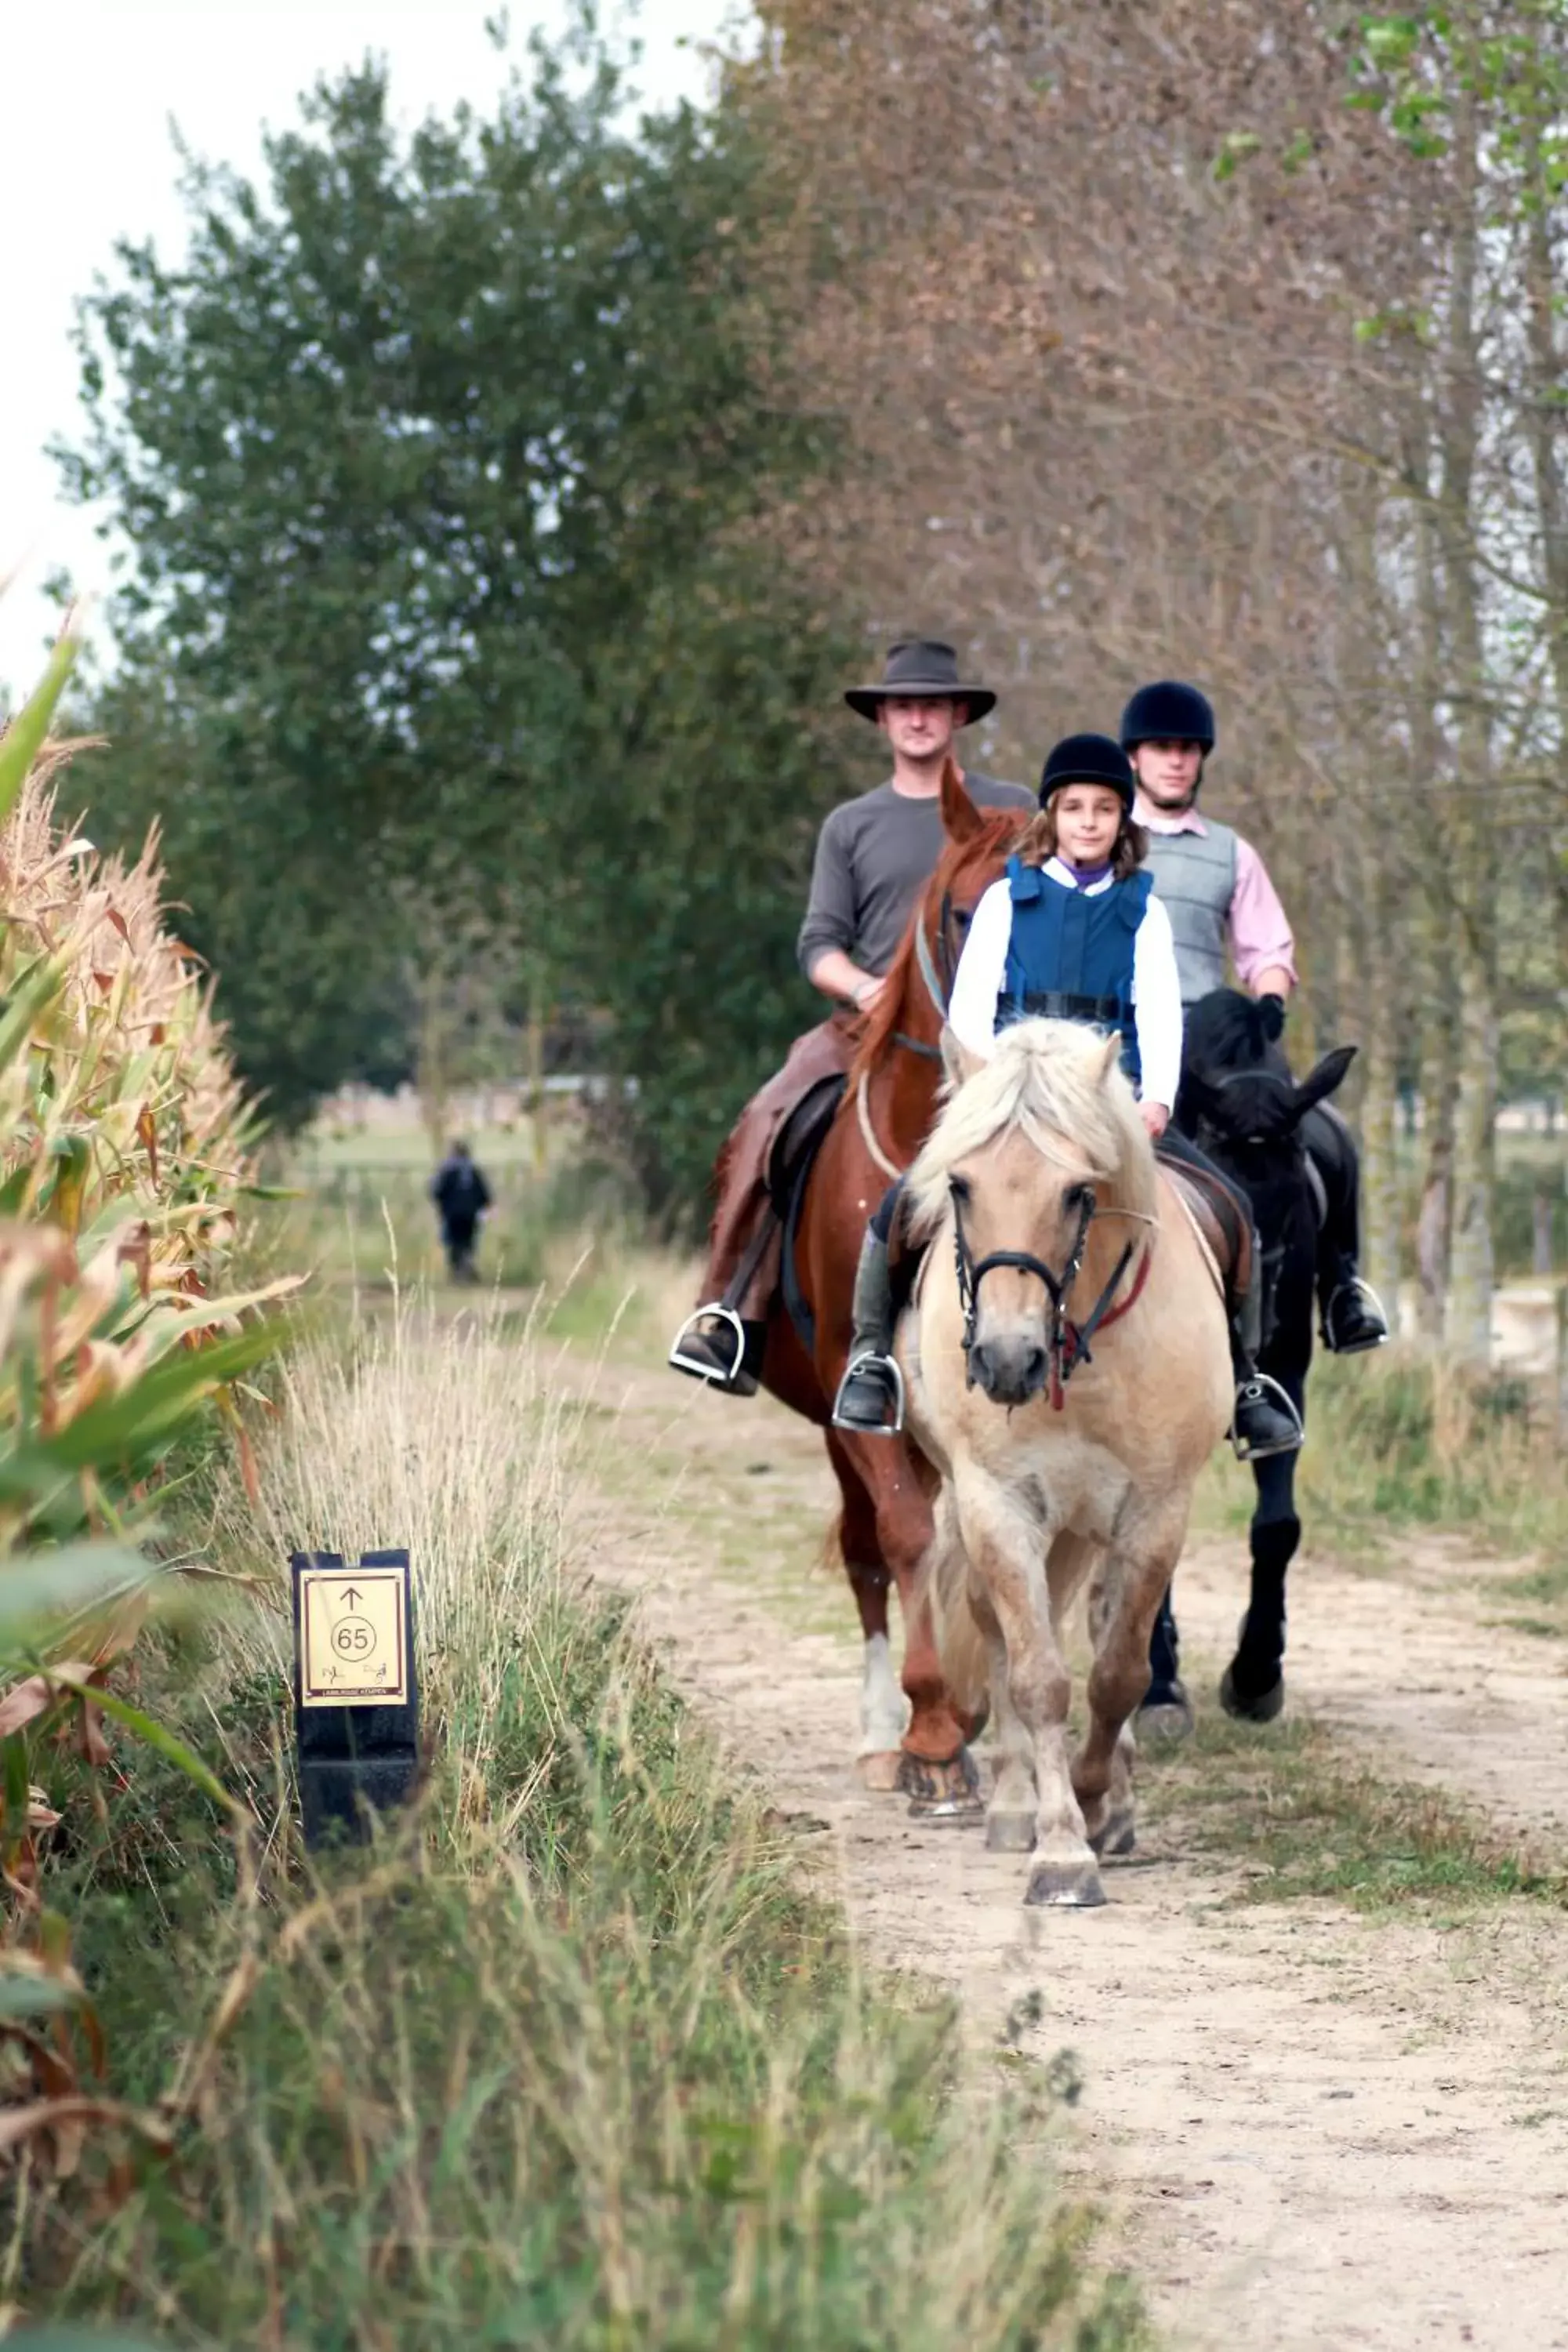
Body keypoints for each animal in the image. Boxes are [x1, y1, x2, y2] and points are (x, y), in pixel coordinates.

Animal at [757, 762, 1029, 1806]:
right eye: (960, 913)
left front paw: (976, 1713)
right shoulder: (858, 1385)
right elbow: (907, 1538)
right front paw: (931, 1733)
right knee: (866, 1550)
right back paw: (883, 1731)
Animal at [902, 1021, 1232, 1900]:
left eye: (1078, 1192)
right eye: (960, 1186)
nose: (1005, 1360)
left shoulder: (1154, 1511)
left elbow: (1118, 1672)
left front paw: (1094, 1799)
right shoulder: (997, 1504)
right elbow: (1036, 1676)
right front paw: (1058, 1845)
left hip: (1088, 1527)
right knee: (1003, 1634)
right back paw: (1017, 1806)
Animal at [1142, 993, 1363, 1731]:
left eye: (1296, 1201)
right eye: (1220, 1199)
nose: (1252, 1332)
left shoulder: (1286, 1381)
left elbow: (1277, 1528)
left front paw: (1256, 1672)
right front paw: (1159, 1687)